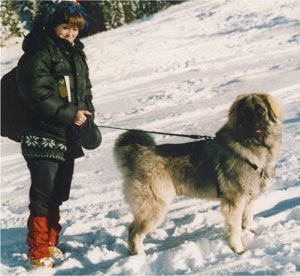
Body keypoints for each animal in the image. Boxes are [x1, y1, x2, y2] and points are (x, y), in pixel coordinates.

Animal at [113, 92, 282, 254]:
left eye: (261, 110)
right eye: (246, 112)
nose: (255, 124)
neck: (253, 146)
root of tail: (136, 153)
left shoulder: (249, 199)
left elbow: (246, 222)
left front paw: (250, 234)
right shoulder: (234, 202)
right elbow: (234, 229)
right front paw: (238, 249)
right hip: (154, 206)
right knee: (133, 232)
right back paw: (140, 256)